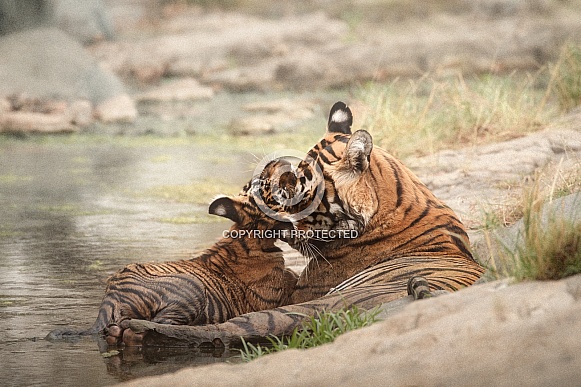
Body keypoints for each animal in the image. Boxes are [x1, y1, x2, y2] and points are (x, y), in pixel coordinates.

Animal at [111, 102, 482, 348]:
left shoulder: (303, 290)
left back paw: (136, 329)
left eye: (297, 192)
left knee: (223, 331)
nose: (285, 234)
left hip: (309, 307)